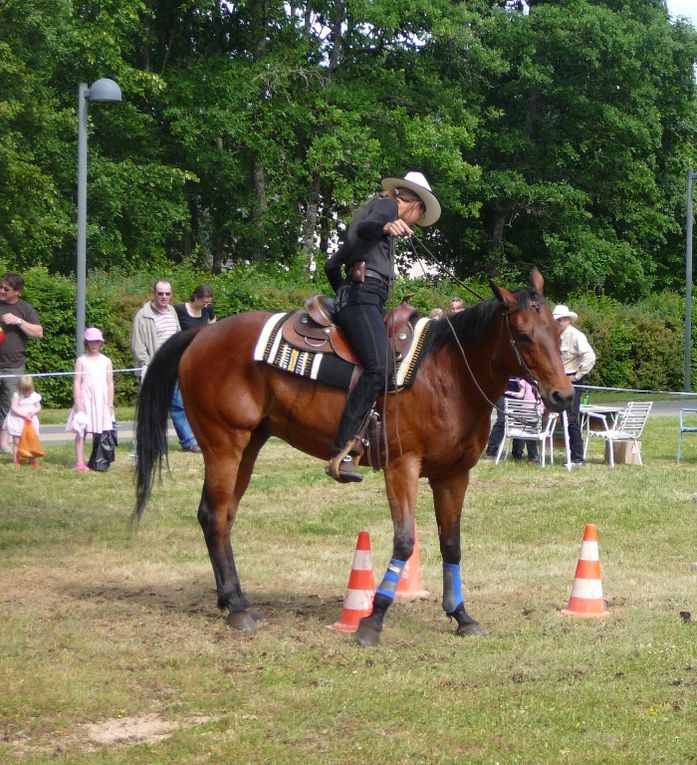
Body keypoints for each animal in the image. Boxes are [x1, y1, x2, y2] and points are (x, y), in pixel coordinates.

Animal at [133, 268, 572, 644]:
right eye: (524, 335)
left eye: (556, 331)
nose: (563, 396)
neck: (447, 374)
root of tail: (202, 335)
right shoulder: (402, 467)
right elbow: (404, 542)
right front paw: (372, 620)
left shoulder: (453, 475)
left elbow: (451, 544)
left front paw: (461, 616)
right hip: (225, 444)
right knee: (212, 514)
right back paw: (238, 608)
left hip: (250, 445)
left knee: (223, 517)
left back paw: (234, 600)